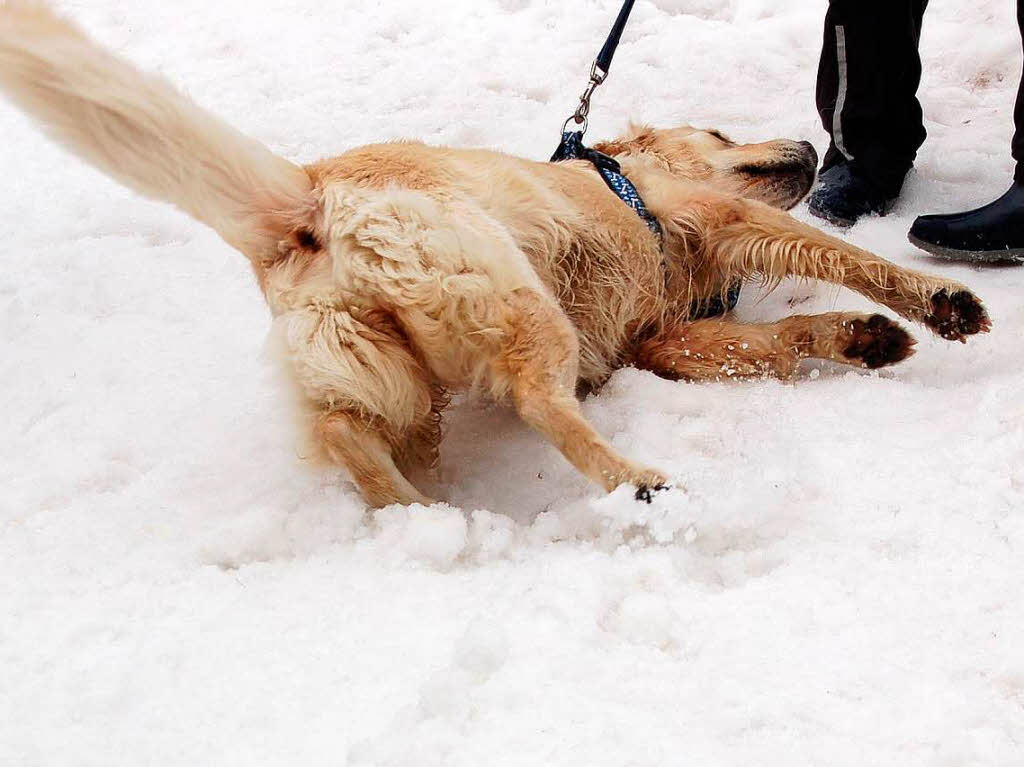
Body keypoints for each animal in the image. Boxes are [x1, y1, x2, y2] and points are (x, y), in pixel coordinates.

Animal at [0, 5, 991, 512]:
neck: (621, 179)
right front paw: (938, 303)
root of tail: (307, 196)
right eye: (717, 132)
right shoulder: (716, 219)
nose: (812, 145)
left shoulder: (661, 337)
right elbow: (845, 259)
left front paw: (863, 338)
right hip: (516, 302)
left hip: (384, 374)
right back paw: (640, 482)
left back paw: (416, 512)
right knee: (537, 402)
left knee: (345, 433)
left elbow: (770, 345)